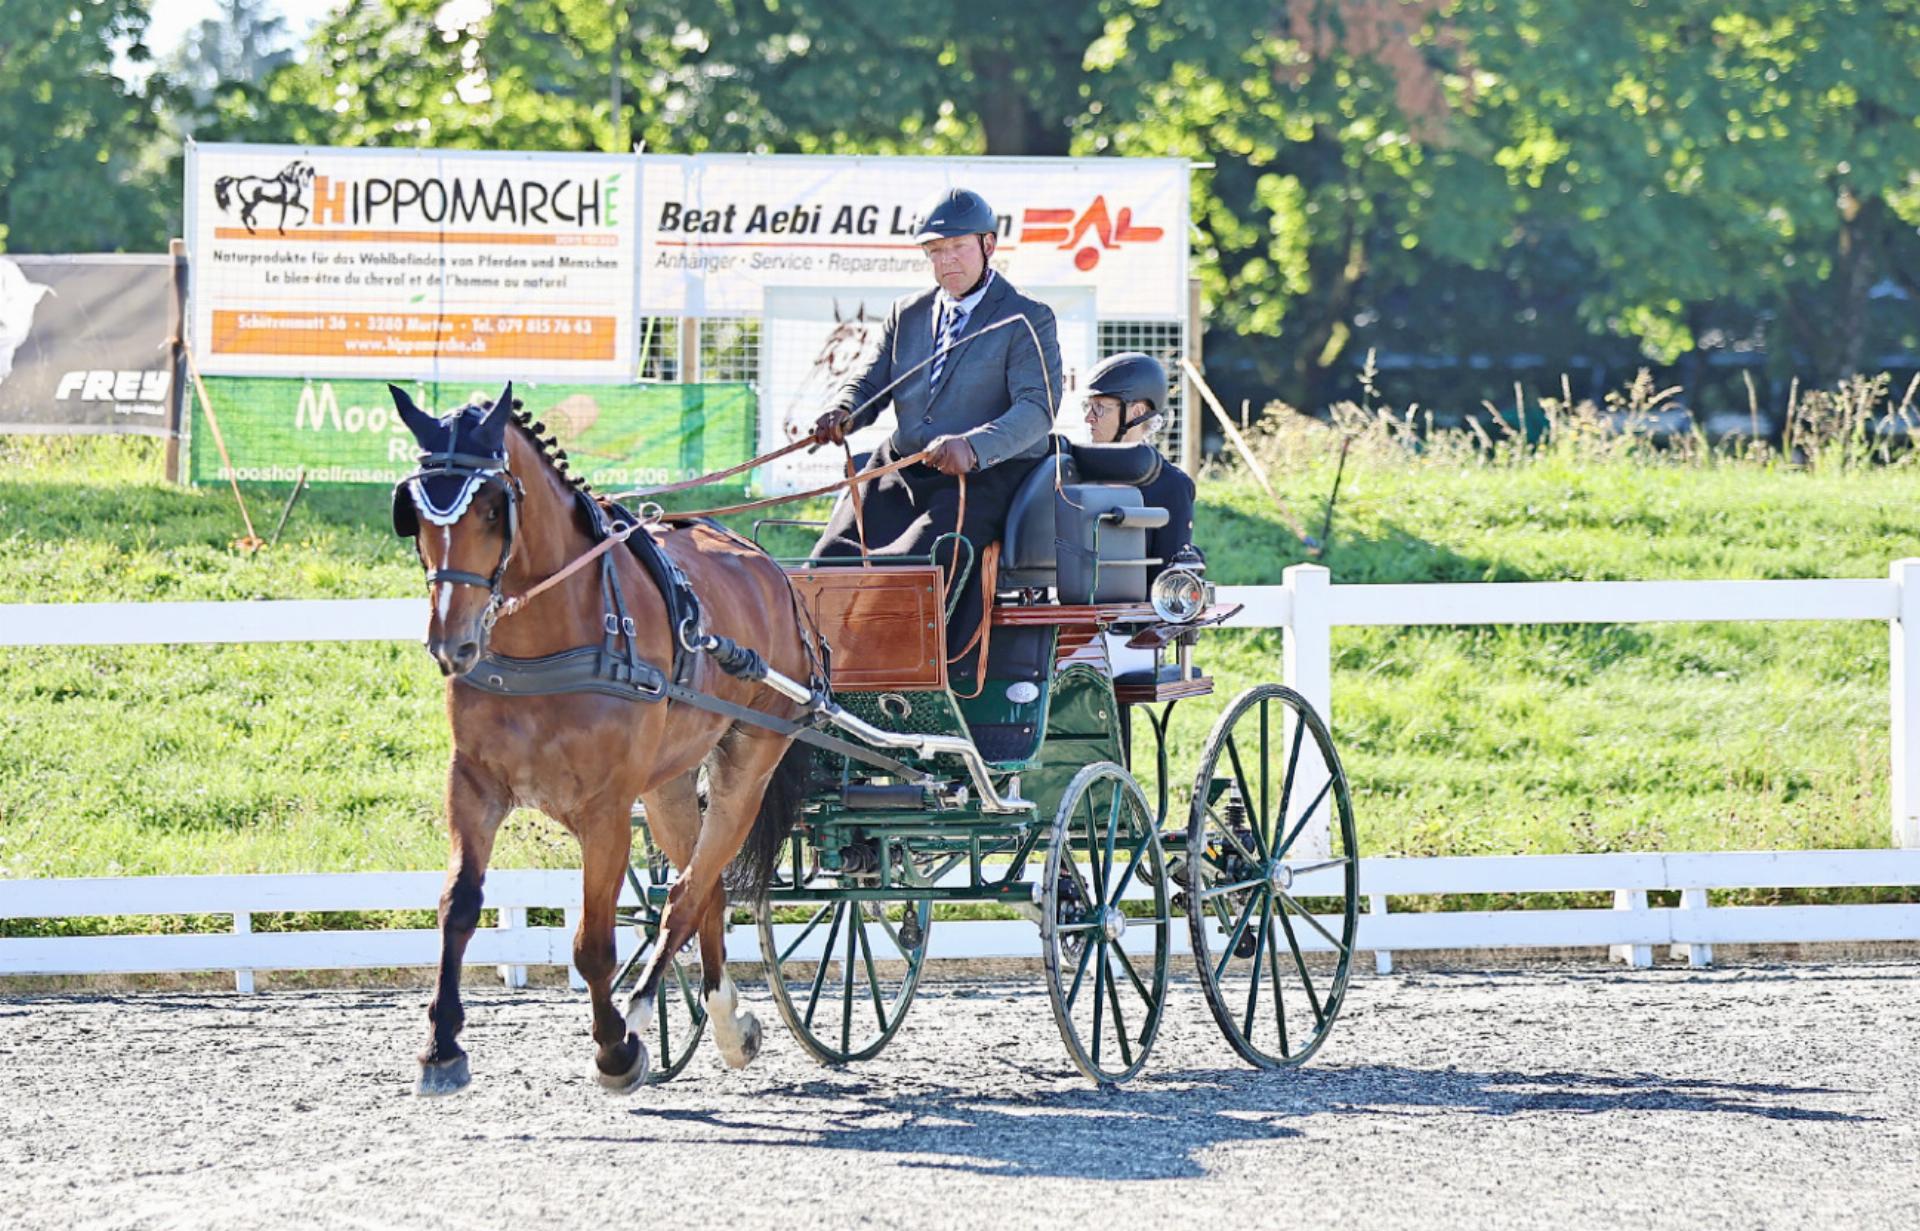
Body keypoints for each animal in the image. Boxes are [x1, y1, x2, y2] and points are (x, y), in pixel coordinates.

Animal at [385, 384, 814, 1090]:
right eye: (415, 513)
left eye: (492, 508)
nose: (452, 643)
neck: (549, 636)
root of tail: (770, 570)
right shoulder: (473, 785)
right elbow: (458, 906)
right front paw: (442, 1046)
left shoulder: (606, 810)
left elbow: (592, 944)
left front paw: (616, 1048)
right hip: (669, 784)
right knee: (707, 888)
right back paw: (728, 1025)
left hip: (748, 764)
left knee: (688, 892)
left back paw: (643, 1011)